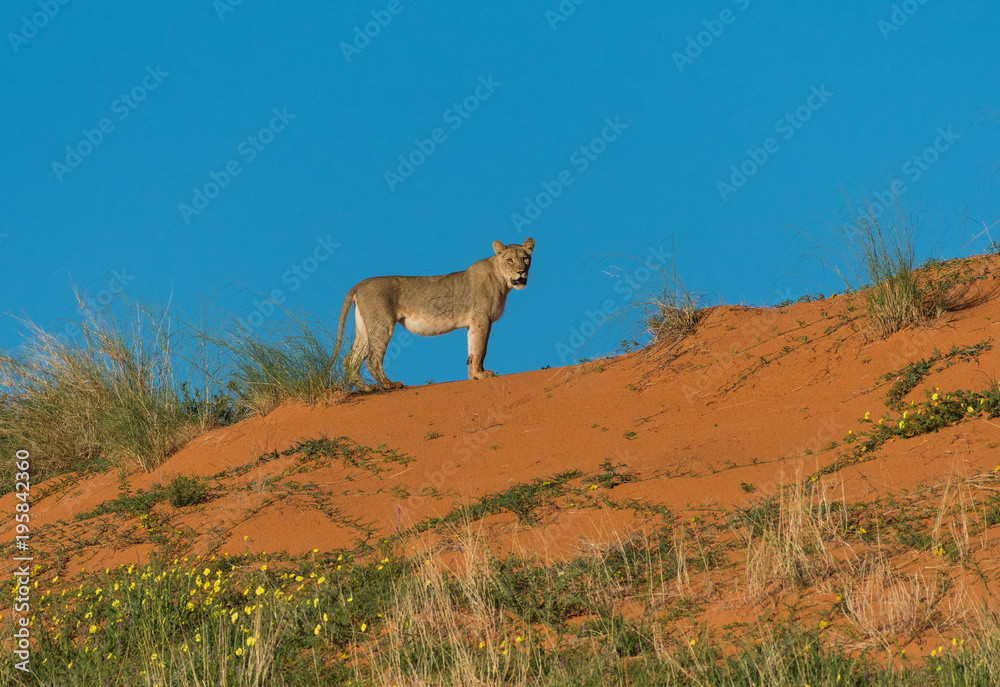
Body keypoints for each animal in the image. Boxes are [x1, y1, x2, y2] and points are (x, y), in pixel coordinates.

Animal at [325, 238, 535, 390]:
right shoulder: (482, 319)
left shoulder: (473, 323)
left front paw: (472, 377)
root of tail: (360, 283)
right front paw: (481, 375)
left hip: (364, 328)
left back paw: (366, 388)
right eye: (510, 260)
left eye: (525, 259)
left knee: (349, 360)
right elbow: (480, 350)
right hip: (382, 324)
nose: (521, 272)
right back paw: (389, 385)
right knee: (372, 360)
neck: (502, 280)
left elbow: (472, 351)